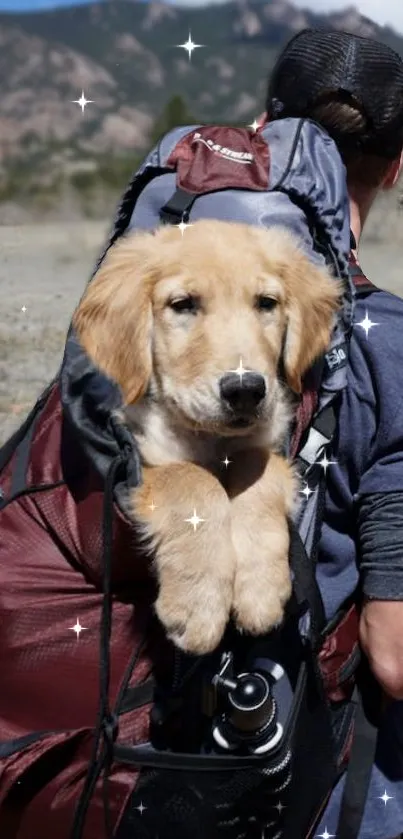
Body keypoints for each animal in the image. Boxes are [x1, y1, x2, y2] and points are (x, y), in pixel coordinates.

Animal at [74, 220, 342, 652]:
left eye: (266, 303)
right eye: (183, 304)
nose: (245, 390)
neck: (213, 440)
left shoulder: (265, 443)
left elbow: (257, 469)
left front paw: (259, 589)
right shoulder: (142, 457)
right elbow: (193, 479)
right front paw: (198, 605)